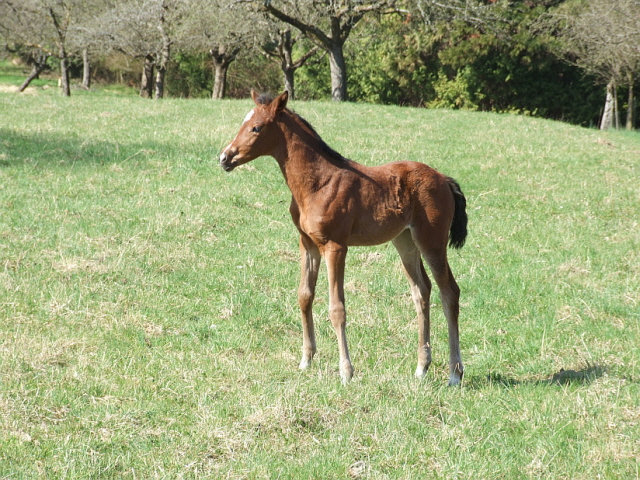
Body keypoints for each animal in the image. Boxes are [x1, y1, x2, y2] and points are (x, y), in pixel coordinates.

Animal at [218, 91, 468, 386]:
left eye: (256, 128)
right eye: (243, 124)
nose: (224, 157)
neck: (318, 183)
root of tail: (444, 179)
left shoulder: (335, 247)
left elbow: (337, 309)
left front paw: (346, 372)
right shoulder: (308, 244)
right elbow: (304, 296)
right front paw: (306, 360)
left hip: (432, 240)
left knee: (449, 292)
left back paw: (455, 374)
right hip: (406, 242)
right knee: (422, 291)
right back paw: (421, 367)